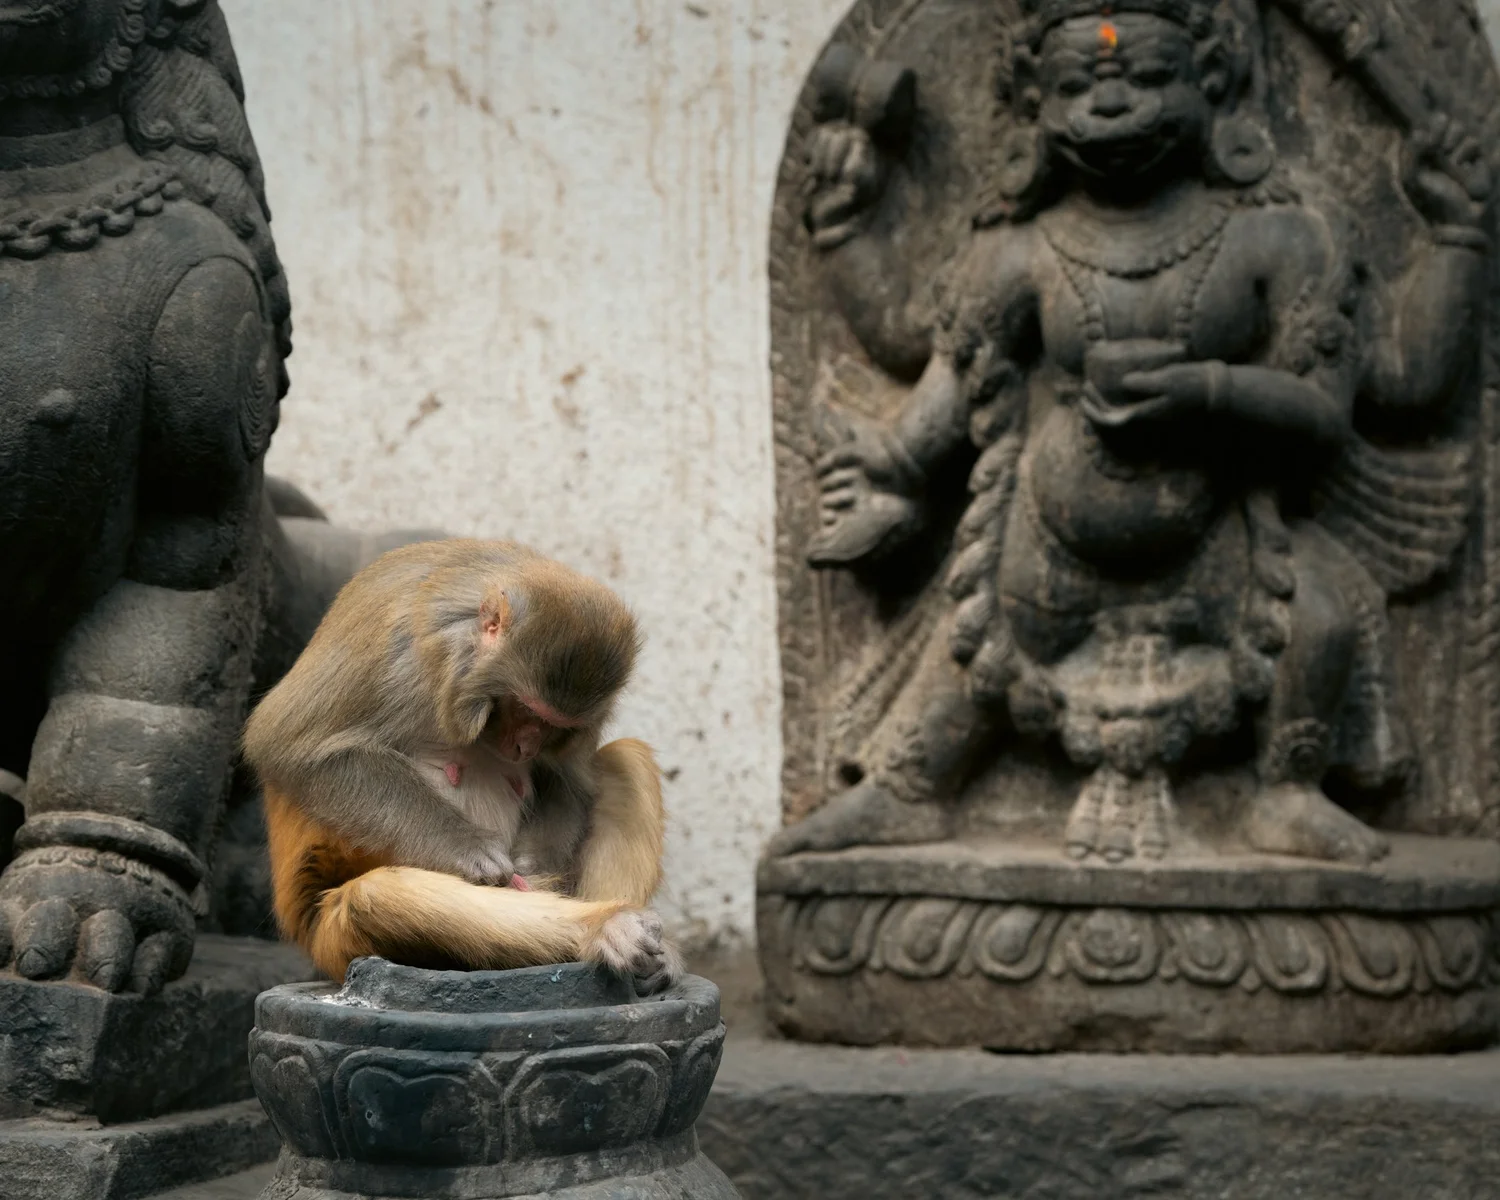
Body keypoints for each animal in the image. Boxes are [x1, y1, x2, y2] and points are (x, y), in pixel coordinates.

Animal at [241, 538, 680, 991]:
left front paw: (534, 864)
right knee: (372, 898)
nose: (525, 746)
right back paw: (604, 925)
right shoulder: (399, 651)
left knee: (626, 761)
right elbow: (291, 747)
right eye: (524, 708)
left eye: (555, 727)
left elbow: (568, 781)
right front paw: (472, 850)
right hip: (330, 935)